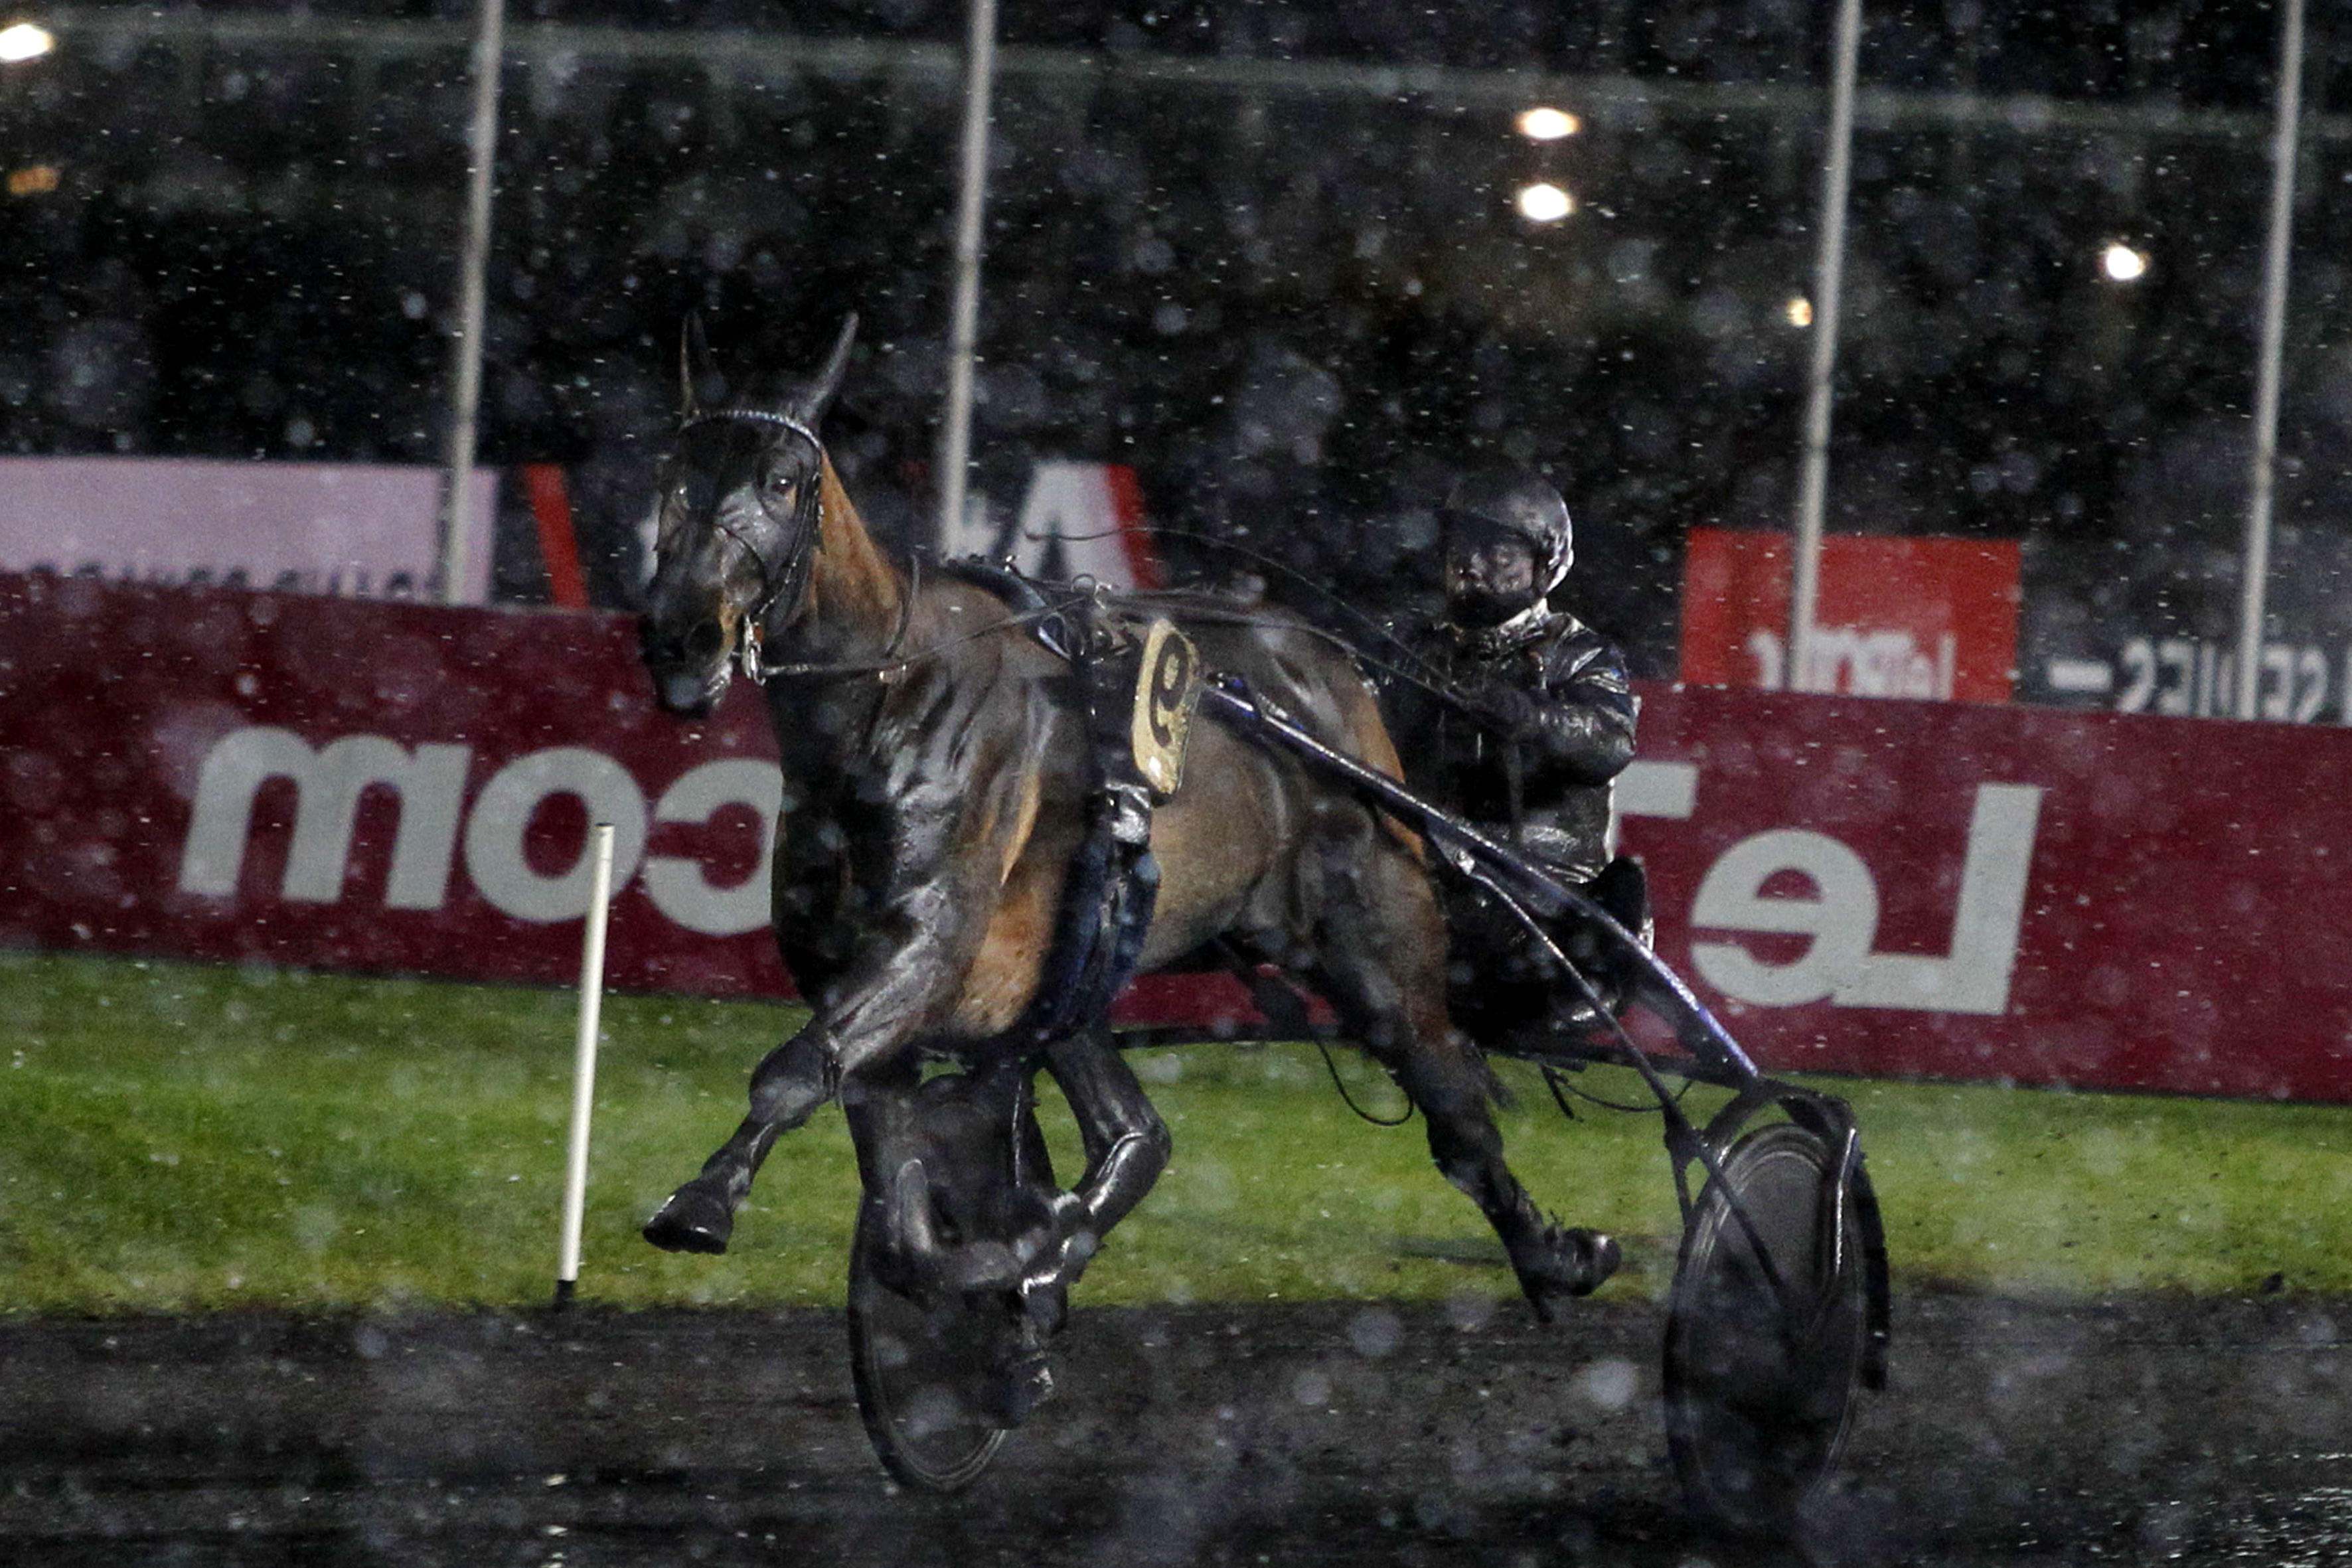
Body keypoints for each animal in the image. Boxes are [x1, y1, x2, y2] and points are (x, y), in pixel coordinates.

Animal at [630, 312, 1618, 1344]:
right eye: (674, 474)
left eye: (783, 479)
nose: (683, 635)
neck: (888, 695)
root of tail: (1338, 683)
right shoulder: (870, 967)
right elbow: (884, 1157)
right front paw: (958, 1272)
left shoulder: (926, 941)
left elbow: (795, 1068)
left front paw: (702, 1201)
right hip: (1081, 961)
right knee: (1138, 1133)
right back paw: (1044, 1259)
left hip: (1377, 949)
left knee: (1456, 1108)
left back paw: (1554, 1257)